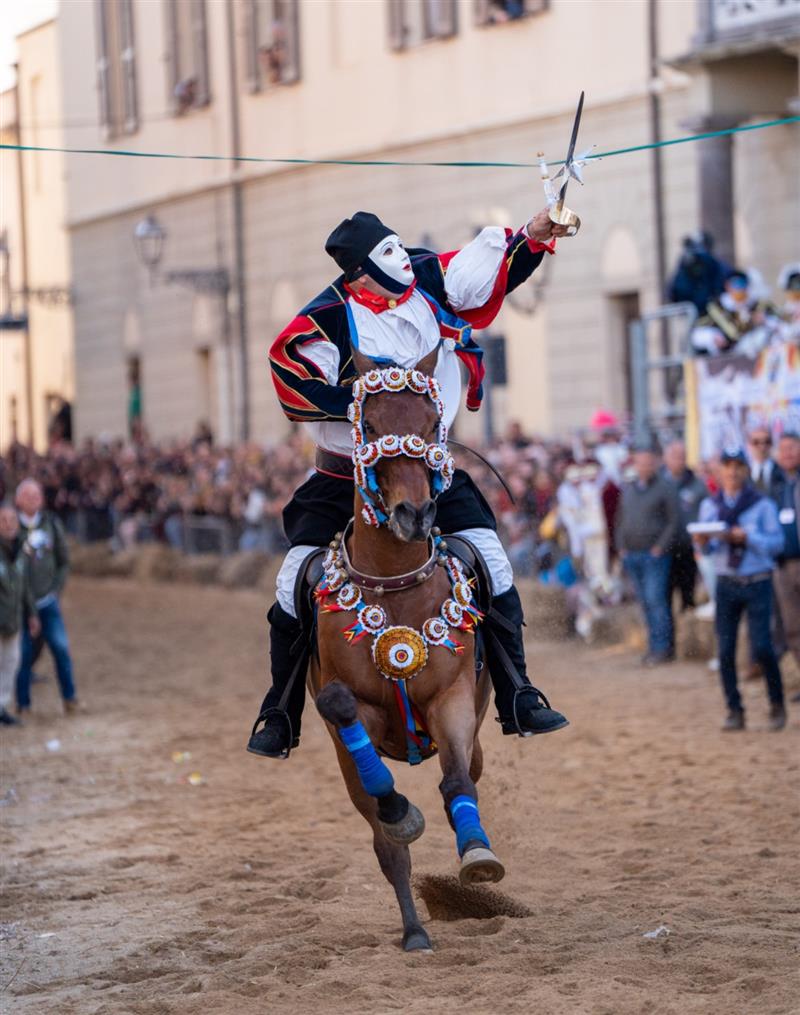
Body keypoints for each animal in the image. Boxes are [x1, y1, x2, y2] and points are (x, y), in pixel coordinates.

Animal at [308, 349, 503, 950]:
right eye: (368, 426)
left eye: (431, 424)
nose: (414, 515)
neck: (395, 588)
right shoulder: (353, 713)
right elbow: (345, 714)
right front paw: (400, 813)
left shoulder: (452, 696)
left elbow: (458, 780)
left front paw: (478, 856)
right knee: (385, 840)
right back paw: (415, 928)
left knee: (466, 774)